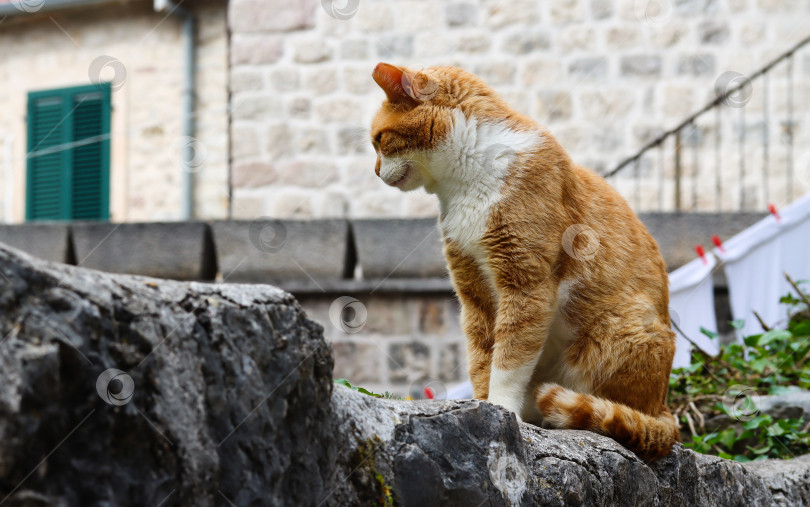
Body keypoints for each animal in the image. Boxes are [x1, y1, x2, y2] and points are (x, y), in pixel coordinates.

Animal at [370, 62, 680, 460]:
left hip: (619, 328)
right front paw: (484, 405)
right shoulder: (475, 294)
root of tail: (664, 407)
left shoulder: (527, 285)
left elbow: (510, 358)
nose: (375, 171)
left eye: (380, 140)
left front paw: (503, 408)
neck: (466, 180)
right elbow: (482, 359)